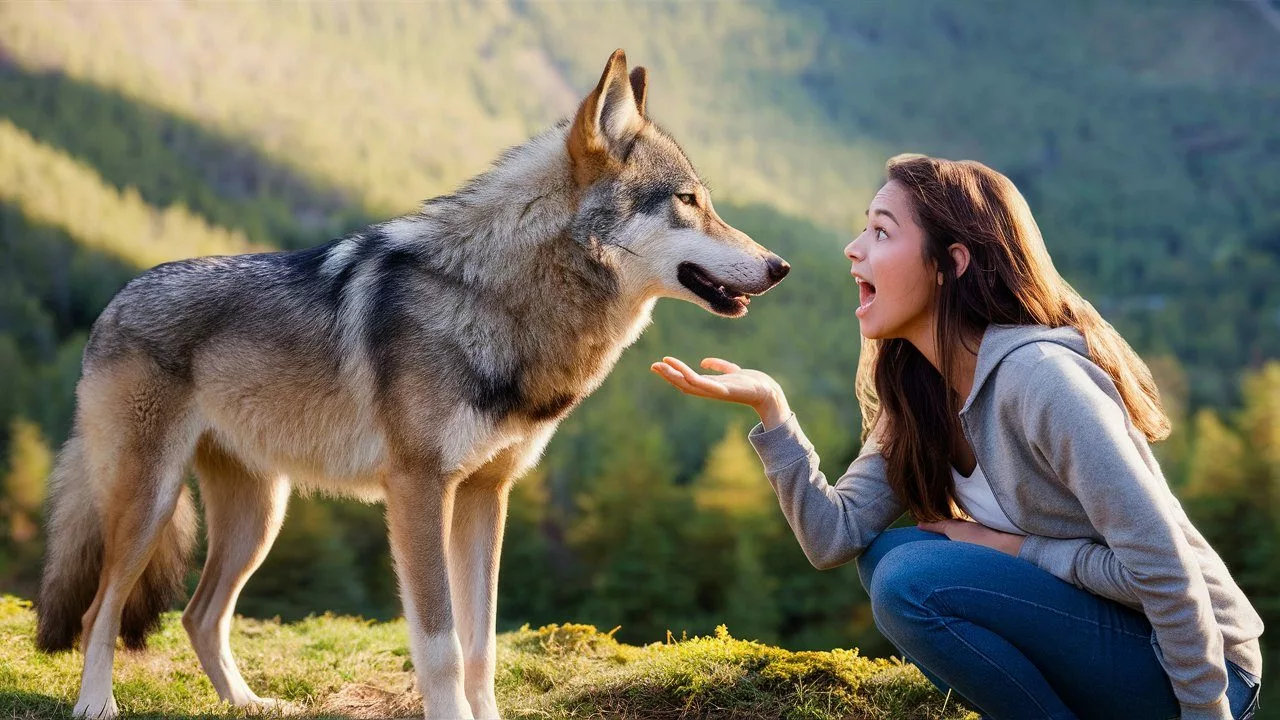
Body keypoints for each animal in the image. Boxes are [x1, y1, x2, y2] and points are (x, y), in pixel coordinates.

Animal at [30, 50, 783, 717]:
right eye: (687, 200)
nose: (780, 267)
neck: (498, 299)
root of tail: (115, 302)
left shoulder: (485, 494)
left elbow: (483, 647)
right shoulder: (417, 489)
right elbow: (442, 647)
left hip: (260, 518)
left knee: (198, 615)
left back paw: (247, 704)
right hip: (152, 503)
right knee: (101, 609)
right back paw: (96, 706)